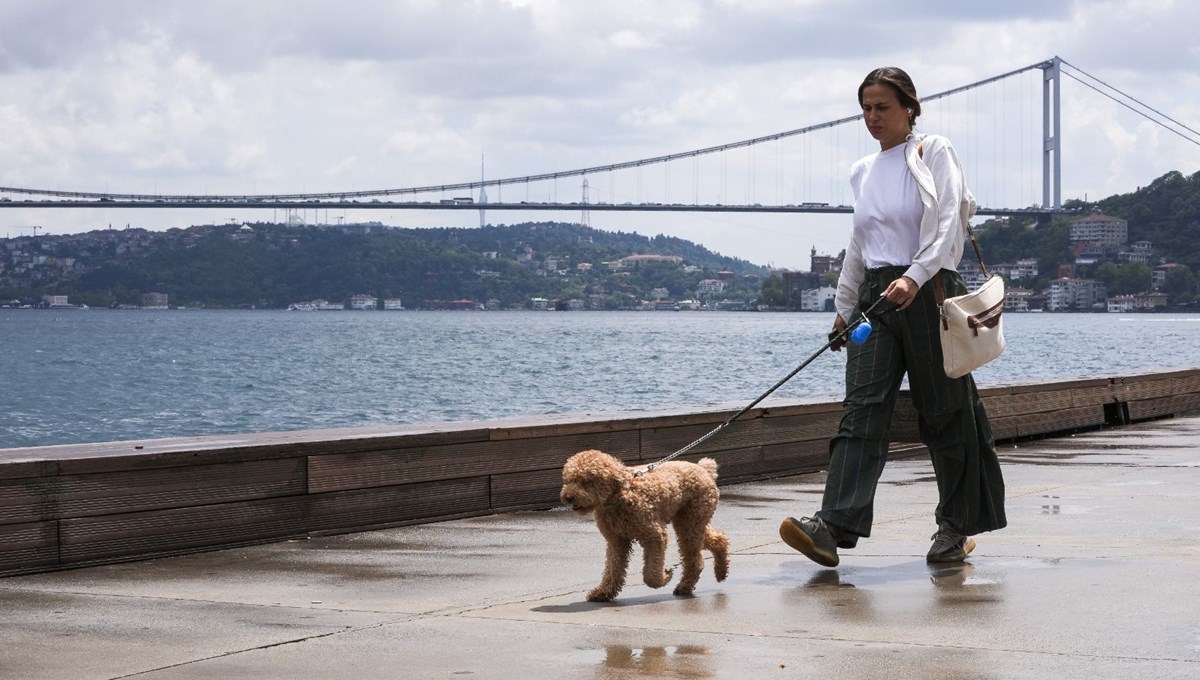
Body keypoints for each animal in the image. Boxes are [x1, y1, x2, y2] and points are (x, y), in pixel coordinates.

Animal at [561, 453, 729, 602]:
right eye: (569, 480)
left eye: (587, 481)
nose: (568, 497)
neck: (618, 497)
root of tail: (704, 469)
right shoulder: (616, 540)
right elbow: (613, 569)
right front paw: (603, 593)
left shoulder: (655, 536)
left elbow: (651, 574)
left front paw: (665, 576)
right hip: (690, 521)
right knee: (718, 540)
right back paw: (720, 571)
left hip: (691, 521)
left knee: (696, 560)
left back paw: (685, 586)